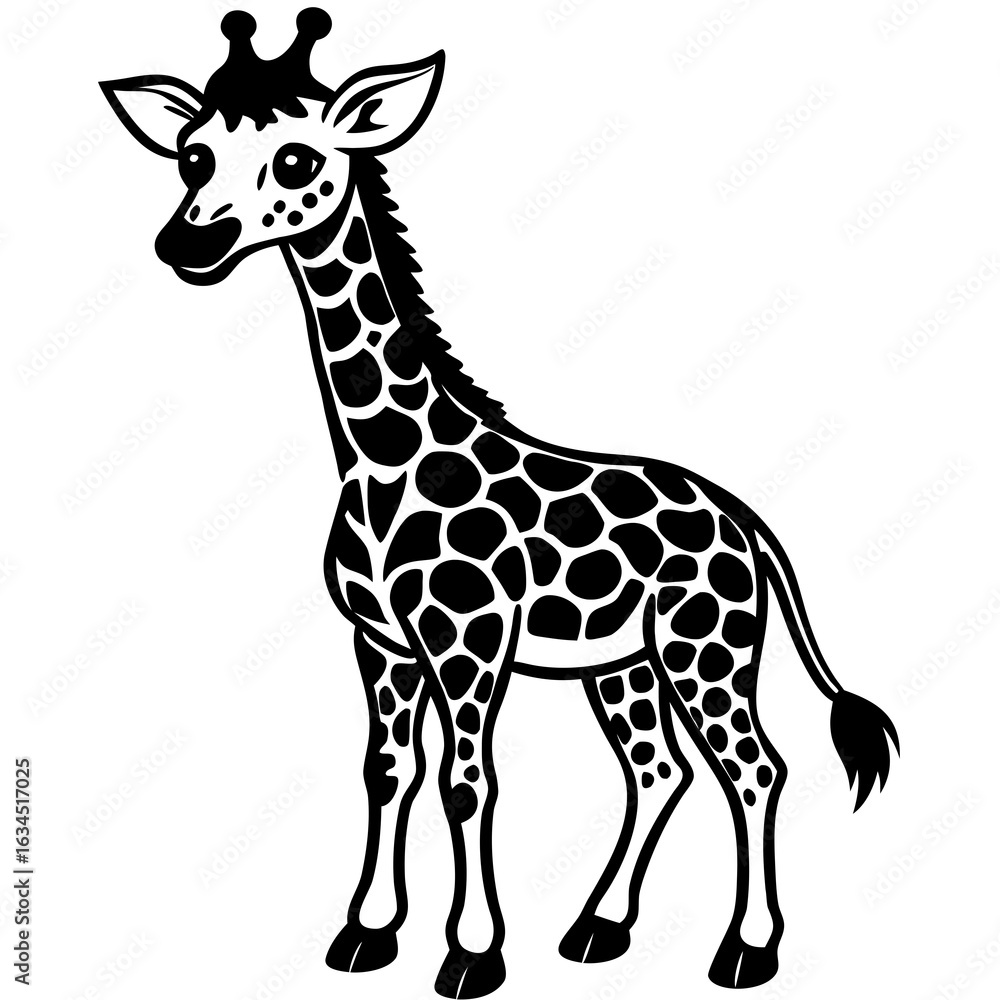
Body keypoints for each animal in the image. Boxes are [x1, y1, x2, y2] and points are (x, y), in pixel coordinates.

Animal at [102, 9, 900, 997]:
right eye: (192, 154)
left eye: (295, 157)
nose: (189, 245)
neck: (384, 456)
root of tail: (746, 522)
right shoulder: (381, 642)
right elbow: (387, 770)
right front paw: (366, 934)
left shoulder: (469, 640)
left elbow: (467, 781)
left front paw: (471, 955)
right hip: (623, 663)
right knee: (660, 770)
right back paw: (598, 929)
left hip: (706, 647)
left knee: (754, 768)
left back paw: (746, 951)